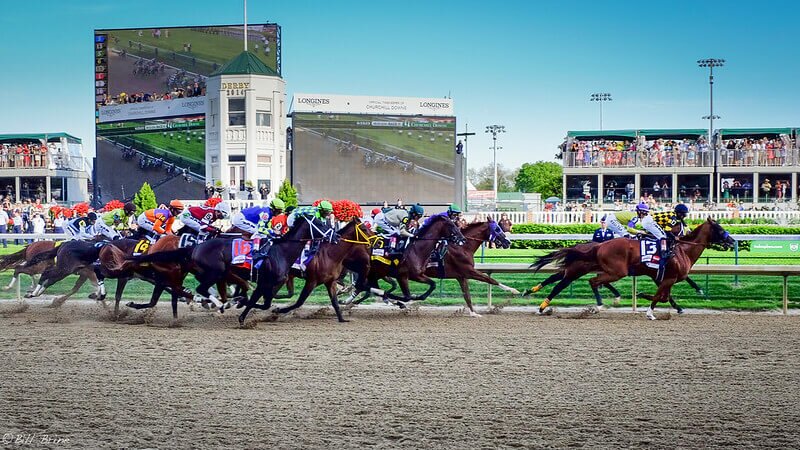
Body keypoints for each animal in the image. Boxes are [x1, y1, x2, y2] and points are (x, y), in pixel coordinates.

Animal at [532, 219, 732, 320]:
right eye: (719, 229)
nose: (731, 240)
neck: (681, 249)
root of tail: (599, 246)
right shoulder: (667, 278)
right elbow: (660, 296)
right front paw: (650, 312)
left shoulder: (663, 277)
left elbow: (664, 296)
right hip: (611, 271)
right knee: (586, 281)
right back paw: (598, 304)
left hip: (592, 269)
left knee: (561, 279)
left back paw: (536, 296)